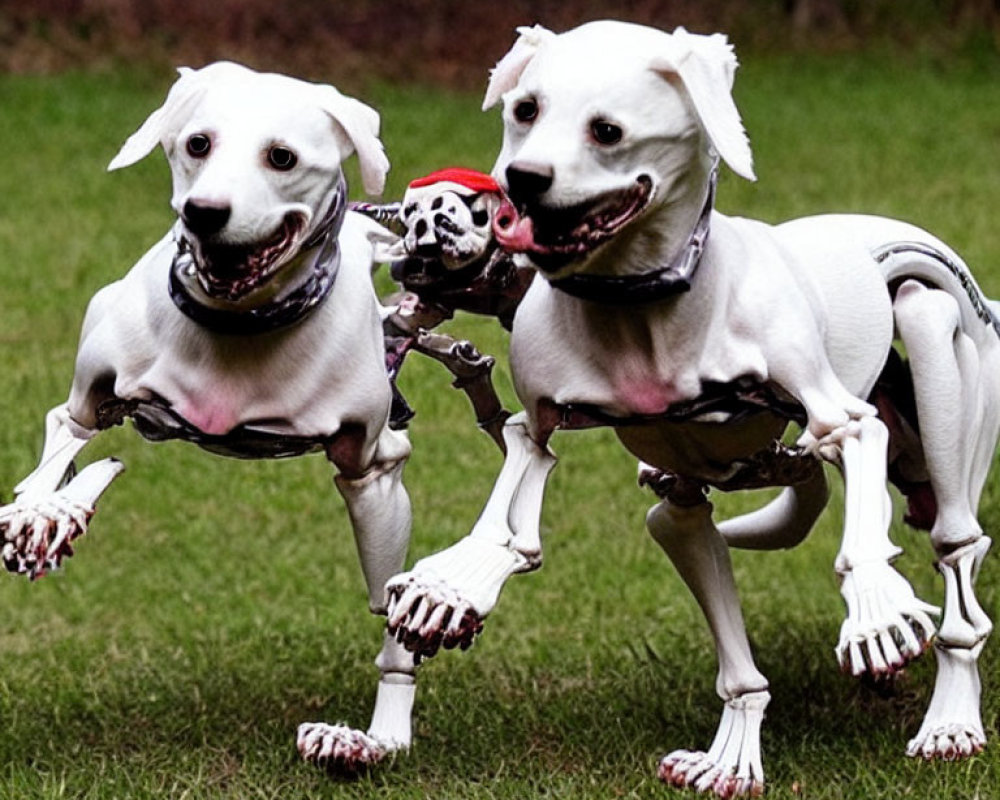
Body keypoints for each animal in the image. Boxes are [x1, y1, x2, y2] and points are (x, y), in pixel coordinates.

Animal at [0, 61, 422, 776]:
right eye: (197, 143)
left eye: (282, 157)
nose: (205, 212)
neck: (235, 328)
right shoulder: (84, 405)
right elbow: (62, 447)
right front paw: (39, 515)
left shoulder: (374, 472)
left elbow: (391, 612)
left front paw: (378, 733)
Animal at [384, 21, 1000, 796]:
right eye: (524, 109)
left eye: (608, 130)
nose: (519, 184)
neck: (643, 314)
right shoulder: (587, 443)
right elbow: (533, 479)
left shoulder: (842, 417)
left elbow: (856, 451)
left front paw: (875, 613)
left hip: (936, 344)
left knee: (955, 546)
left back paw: (950, 720)